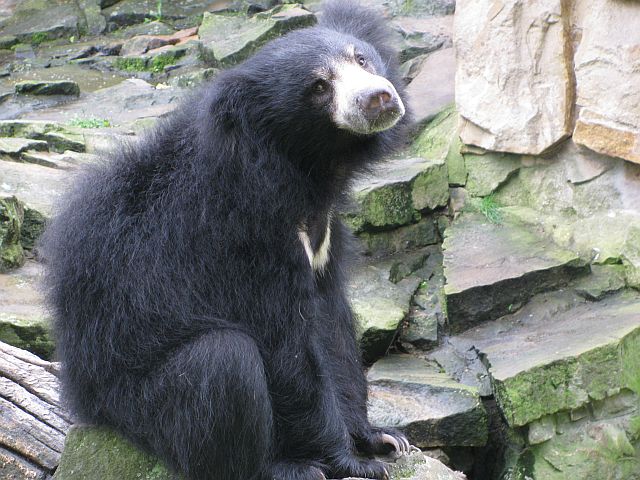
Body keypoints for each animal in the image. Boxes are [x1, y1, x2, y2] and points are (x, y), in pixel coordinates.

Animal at [41, 2, 412, 479]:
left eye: (361, 59)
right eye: (318, 87)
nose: (378, 98)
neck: (302, 169)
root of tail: (85, 401)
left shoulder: (323, 232)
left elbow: (333, 327)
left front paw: (382, 437)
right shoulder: (244, 235)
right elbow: (287, 348)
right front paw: (351, 461)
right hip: (140, 401)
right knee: (224, 361)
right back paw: (279, 466)